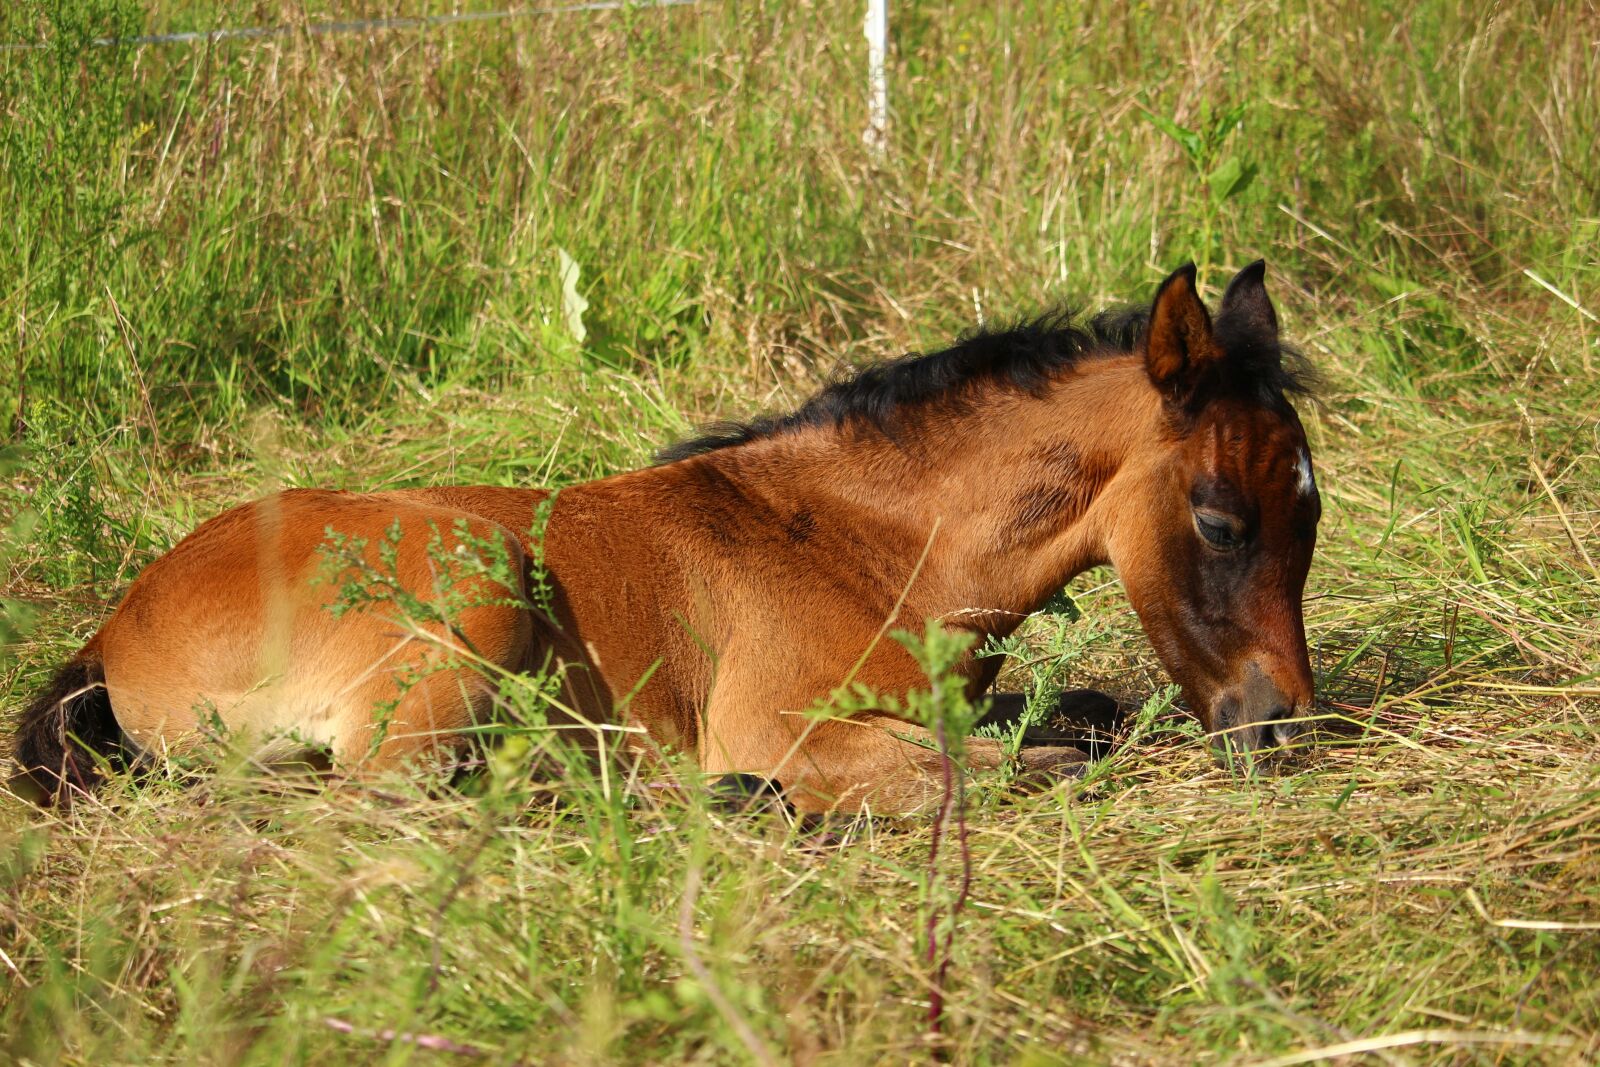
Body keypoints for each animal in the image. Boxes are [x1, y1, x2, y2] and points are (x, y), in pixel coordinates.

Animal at [12, 261, 1321, 814]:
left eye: (1312, 509)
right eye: (1218, 517)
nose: (1287, 727)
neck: (863, 546)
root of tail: (115, 624)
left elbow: (1077, 716)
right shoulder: (781, 722)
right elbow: (1016, 766)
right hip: (472, 594)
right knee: (396, 797)